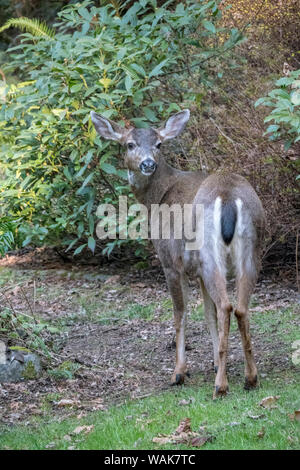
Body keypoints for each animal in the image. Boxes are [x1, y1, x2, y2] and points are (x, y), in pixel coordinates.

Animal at [90, 109, 264, 396]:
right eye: (130, 144)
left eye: (159, 144)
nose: (148, 164)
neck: (156, 199)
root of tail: (228, 197)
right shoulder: (198, 272)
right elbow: (207, 314)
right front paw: (215, 362)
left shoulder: (171, 261)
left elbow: (181, 314)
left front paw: (179, 372)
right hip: (251, 250)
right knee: (239, 308)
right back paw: (250, 378)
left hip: (209, 253)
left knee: (226, 306)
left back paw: (221, 386)